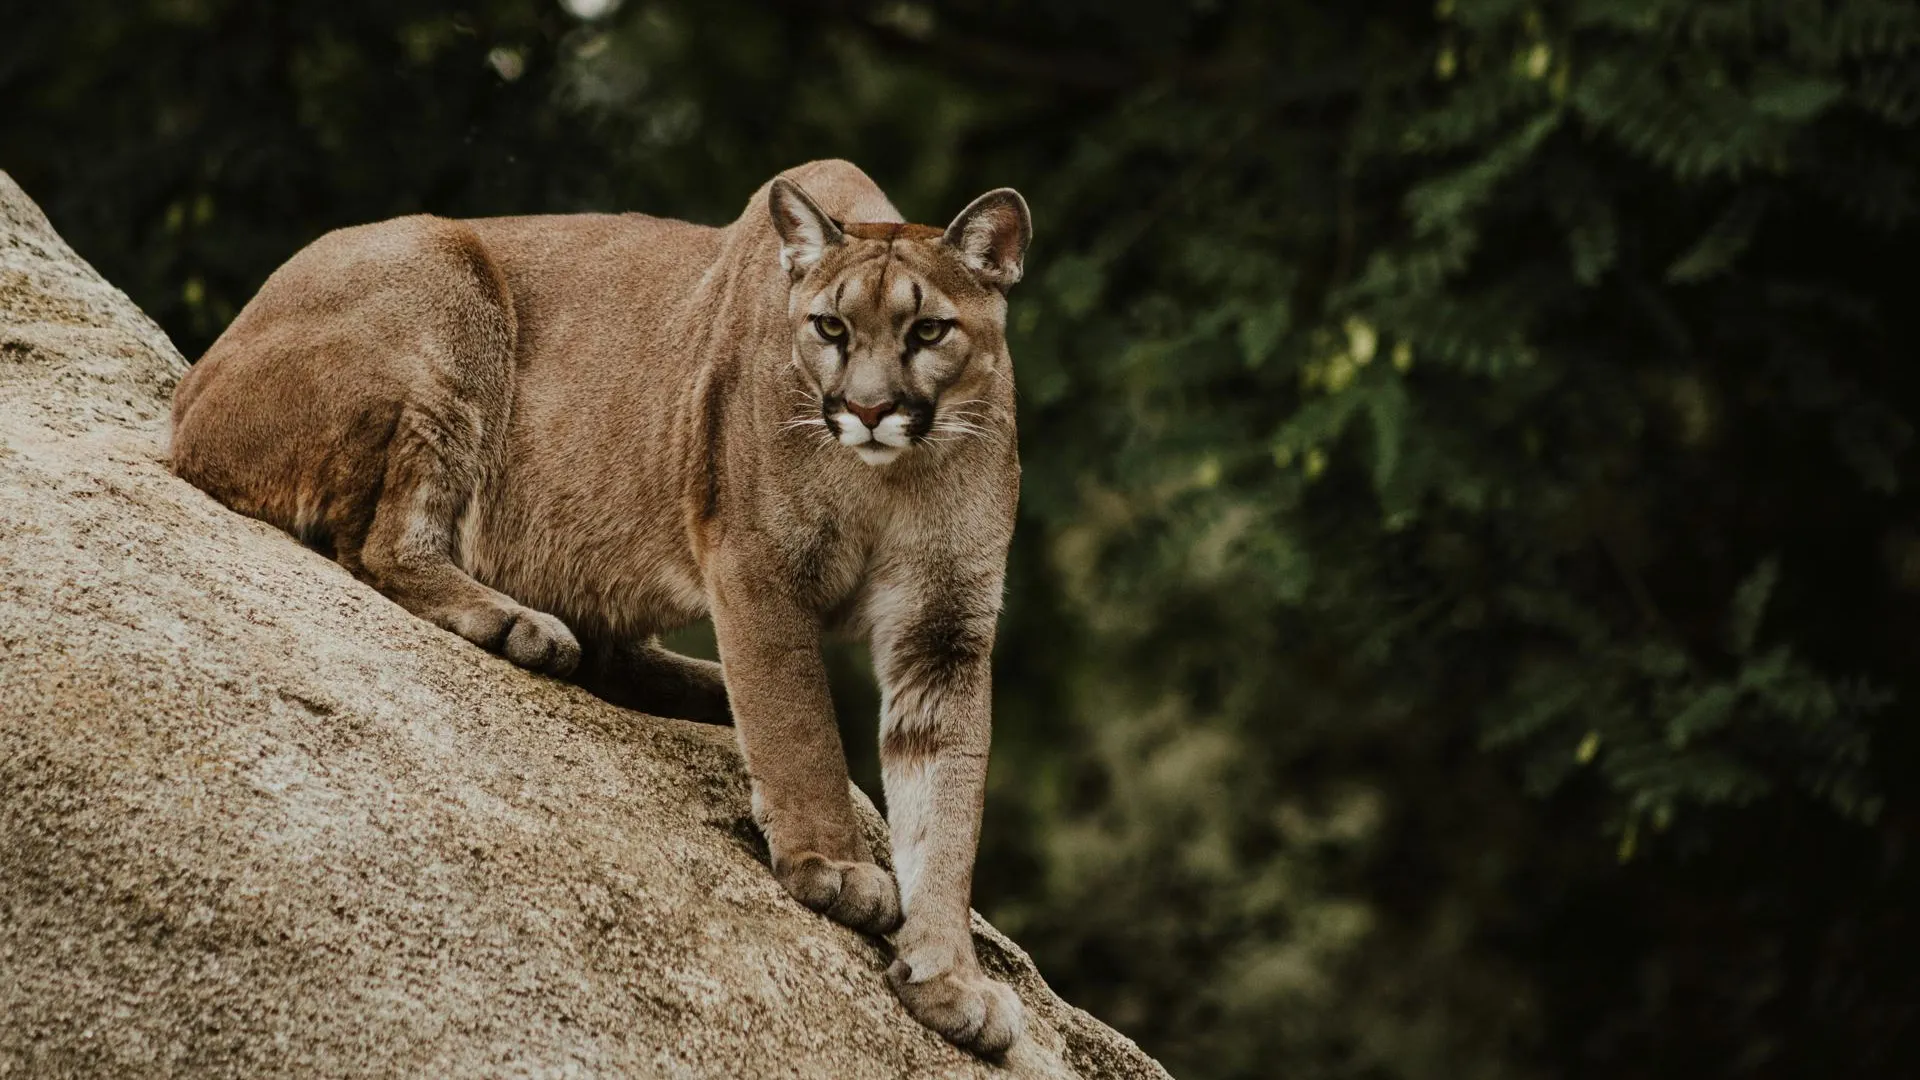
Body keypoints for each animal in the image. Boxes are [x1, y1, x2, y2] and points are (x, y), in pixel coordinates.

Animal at [168, 159, 1036, 1053]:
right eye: (829, 327)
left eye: (928, 331)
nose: (866, 410)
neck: (889, 477)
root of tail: (187, 396)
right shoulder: (758, 565)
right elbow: (799, 726)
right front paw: (836, 866)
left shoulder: (945, 628)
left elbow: (947, 805)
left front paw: (951, 978)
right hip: (445, 287)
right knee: (383, 544)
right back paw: (519, 625)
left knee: (612, 650)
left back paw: (690, 686)